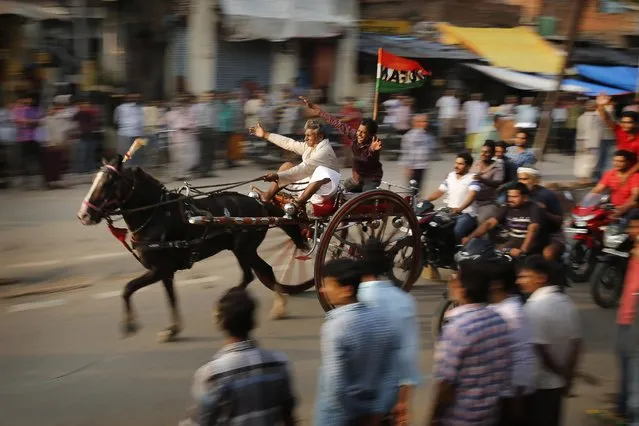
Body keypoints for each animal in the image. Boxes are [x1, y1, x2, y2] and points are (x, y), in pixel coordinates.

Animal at [77, 155, 302, 342]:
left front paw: (129, 324)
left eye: (107, 183)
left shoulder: (158, 269)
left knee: (256, 272)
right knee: (259, 272)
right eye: (94, 180)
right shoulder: (165, 271)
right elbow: (171, 298)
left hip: (243, 248)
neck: (156, 216)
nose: (83, 215)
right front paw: (172, 329)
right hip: (241, 249)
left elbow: (128, 288)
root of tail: (260, 204)